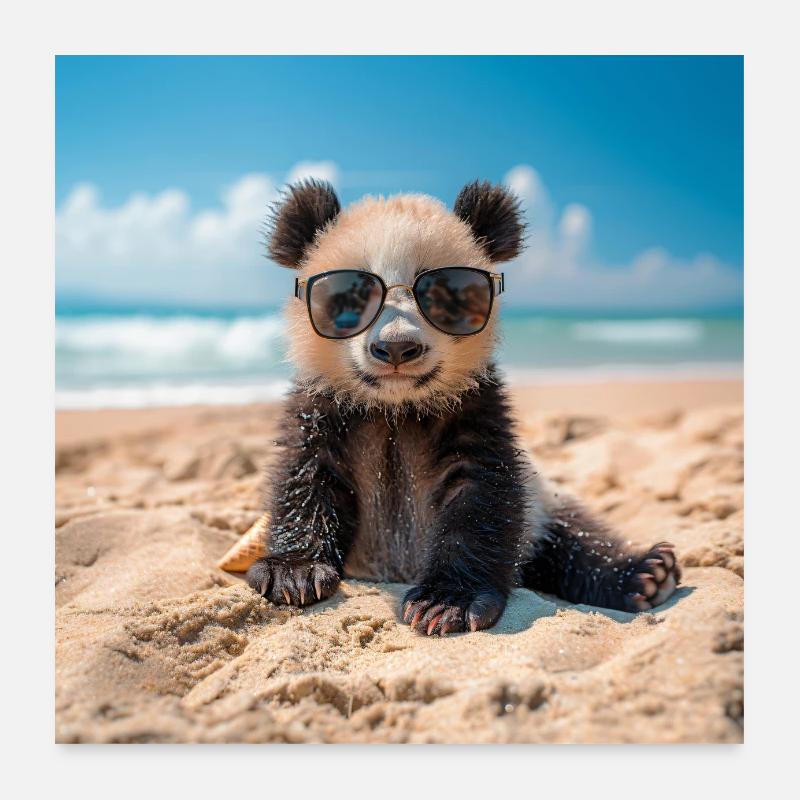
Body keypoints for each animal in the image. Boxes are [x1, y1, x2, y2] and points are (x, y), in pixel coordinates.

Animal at [246, 179, 681, 636]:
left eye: (442, 295)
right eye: (351, 296)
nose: (397, 348)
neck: (395, 407)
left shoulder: (475, 406)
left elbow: (481, 494)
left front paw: (444, 602)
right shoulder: (324, 407)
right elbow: (305, 476)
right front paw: (293, 572)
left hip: (543, 506)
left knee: (574, 538)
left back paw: (646, 572)